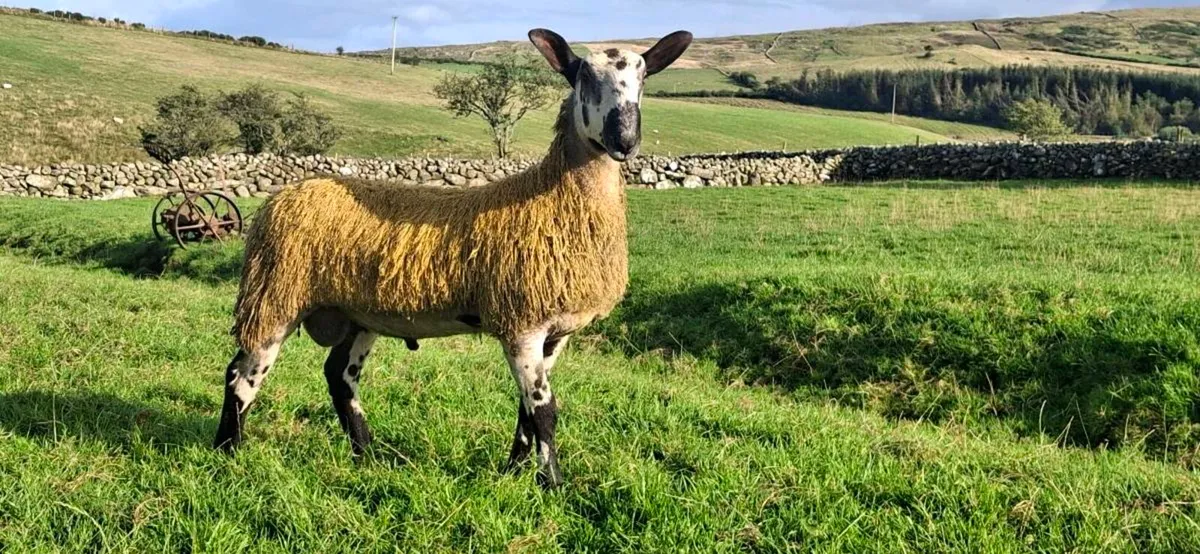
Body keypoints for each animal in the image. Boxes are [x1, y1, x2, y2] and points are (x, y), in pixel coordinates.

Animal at [212, 28, 693, 488]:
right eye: (584, 77)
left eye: (645, 77)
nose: (624, 140)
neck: (550, 196)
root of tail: (284, 194)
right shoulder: (521, 324)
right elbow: (544, 410)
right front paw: (553, 486)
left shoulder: (556, 333)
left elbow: (526, 410)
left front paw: (512, 472)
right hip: (275, 297)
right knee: (242, 376)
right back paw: (227, 452)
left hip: (356, 314)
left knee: (340, 377)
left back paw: (367, 455)